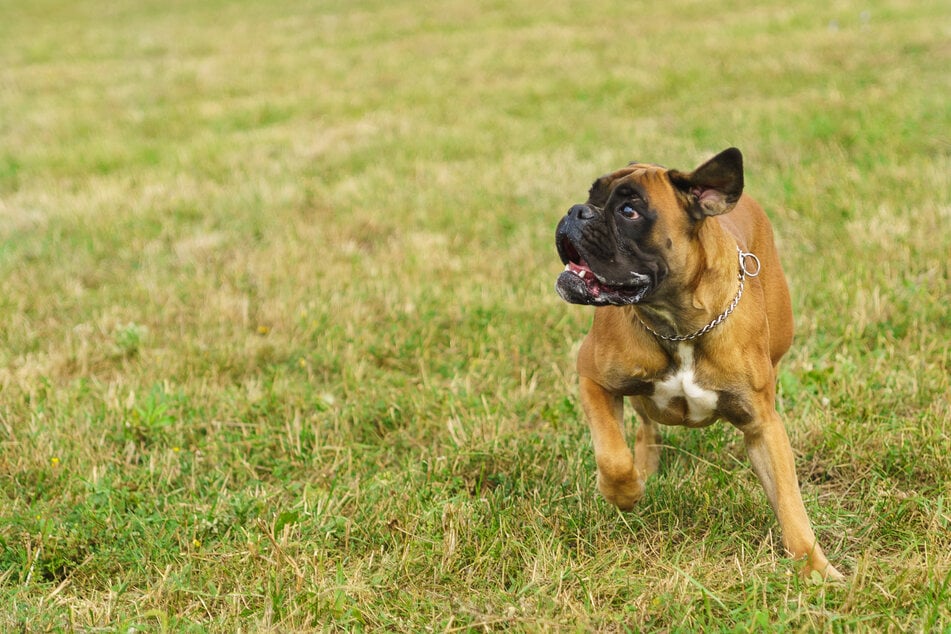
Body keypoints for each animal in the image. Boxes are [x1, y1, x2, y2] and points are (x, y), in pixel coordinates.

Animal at [556, 148, 844, 576]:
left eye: (629, 210)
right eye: (592, 195)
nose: (577, 211)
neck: (679, 326)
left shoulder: (764, 428)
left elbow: (790, 502)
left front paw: (816, 569)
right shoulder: (593, 379)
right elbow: (612, 455)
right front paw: (625, 493)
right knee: (644, 426)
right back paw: (644, 468)